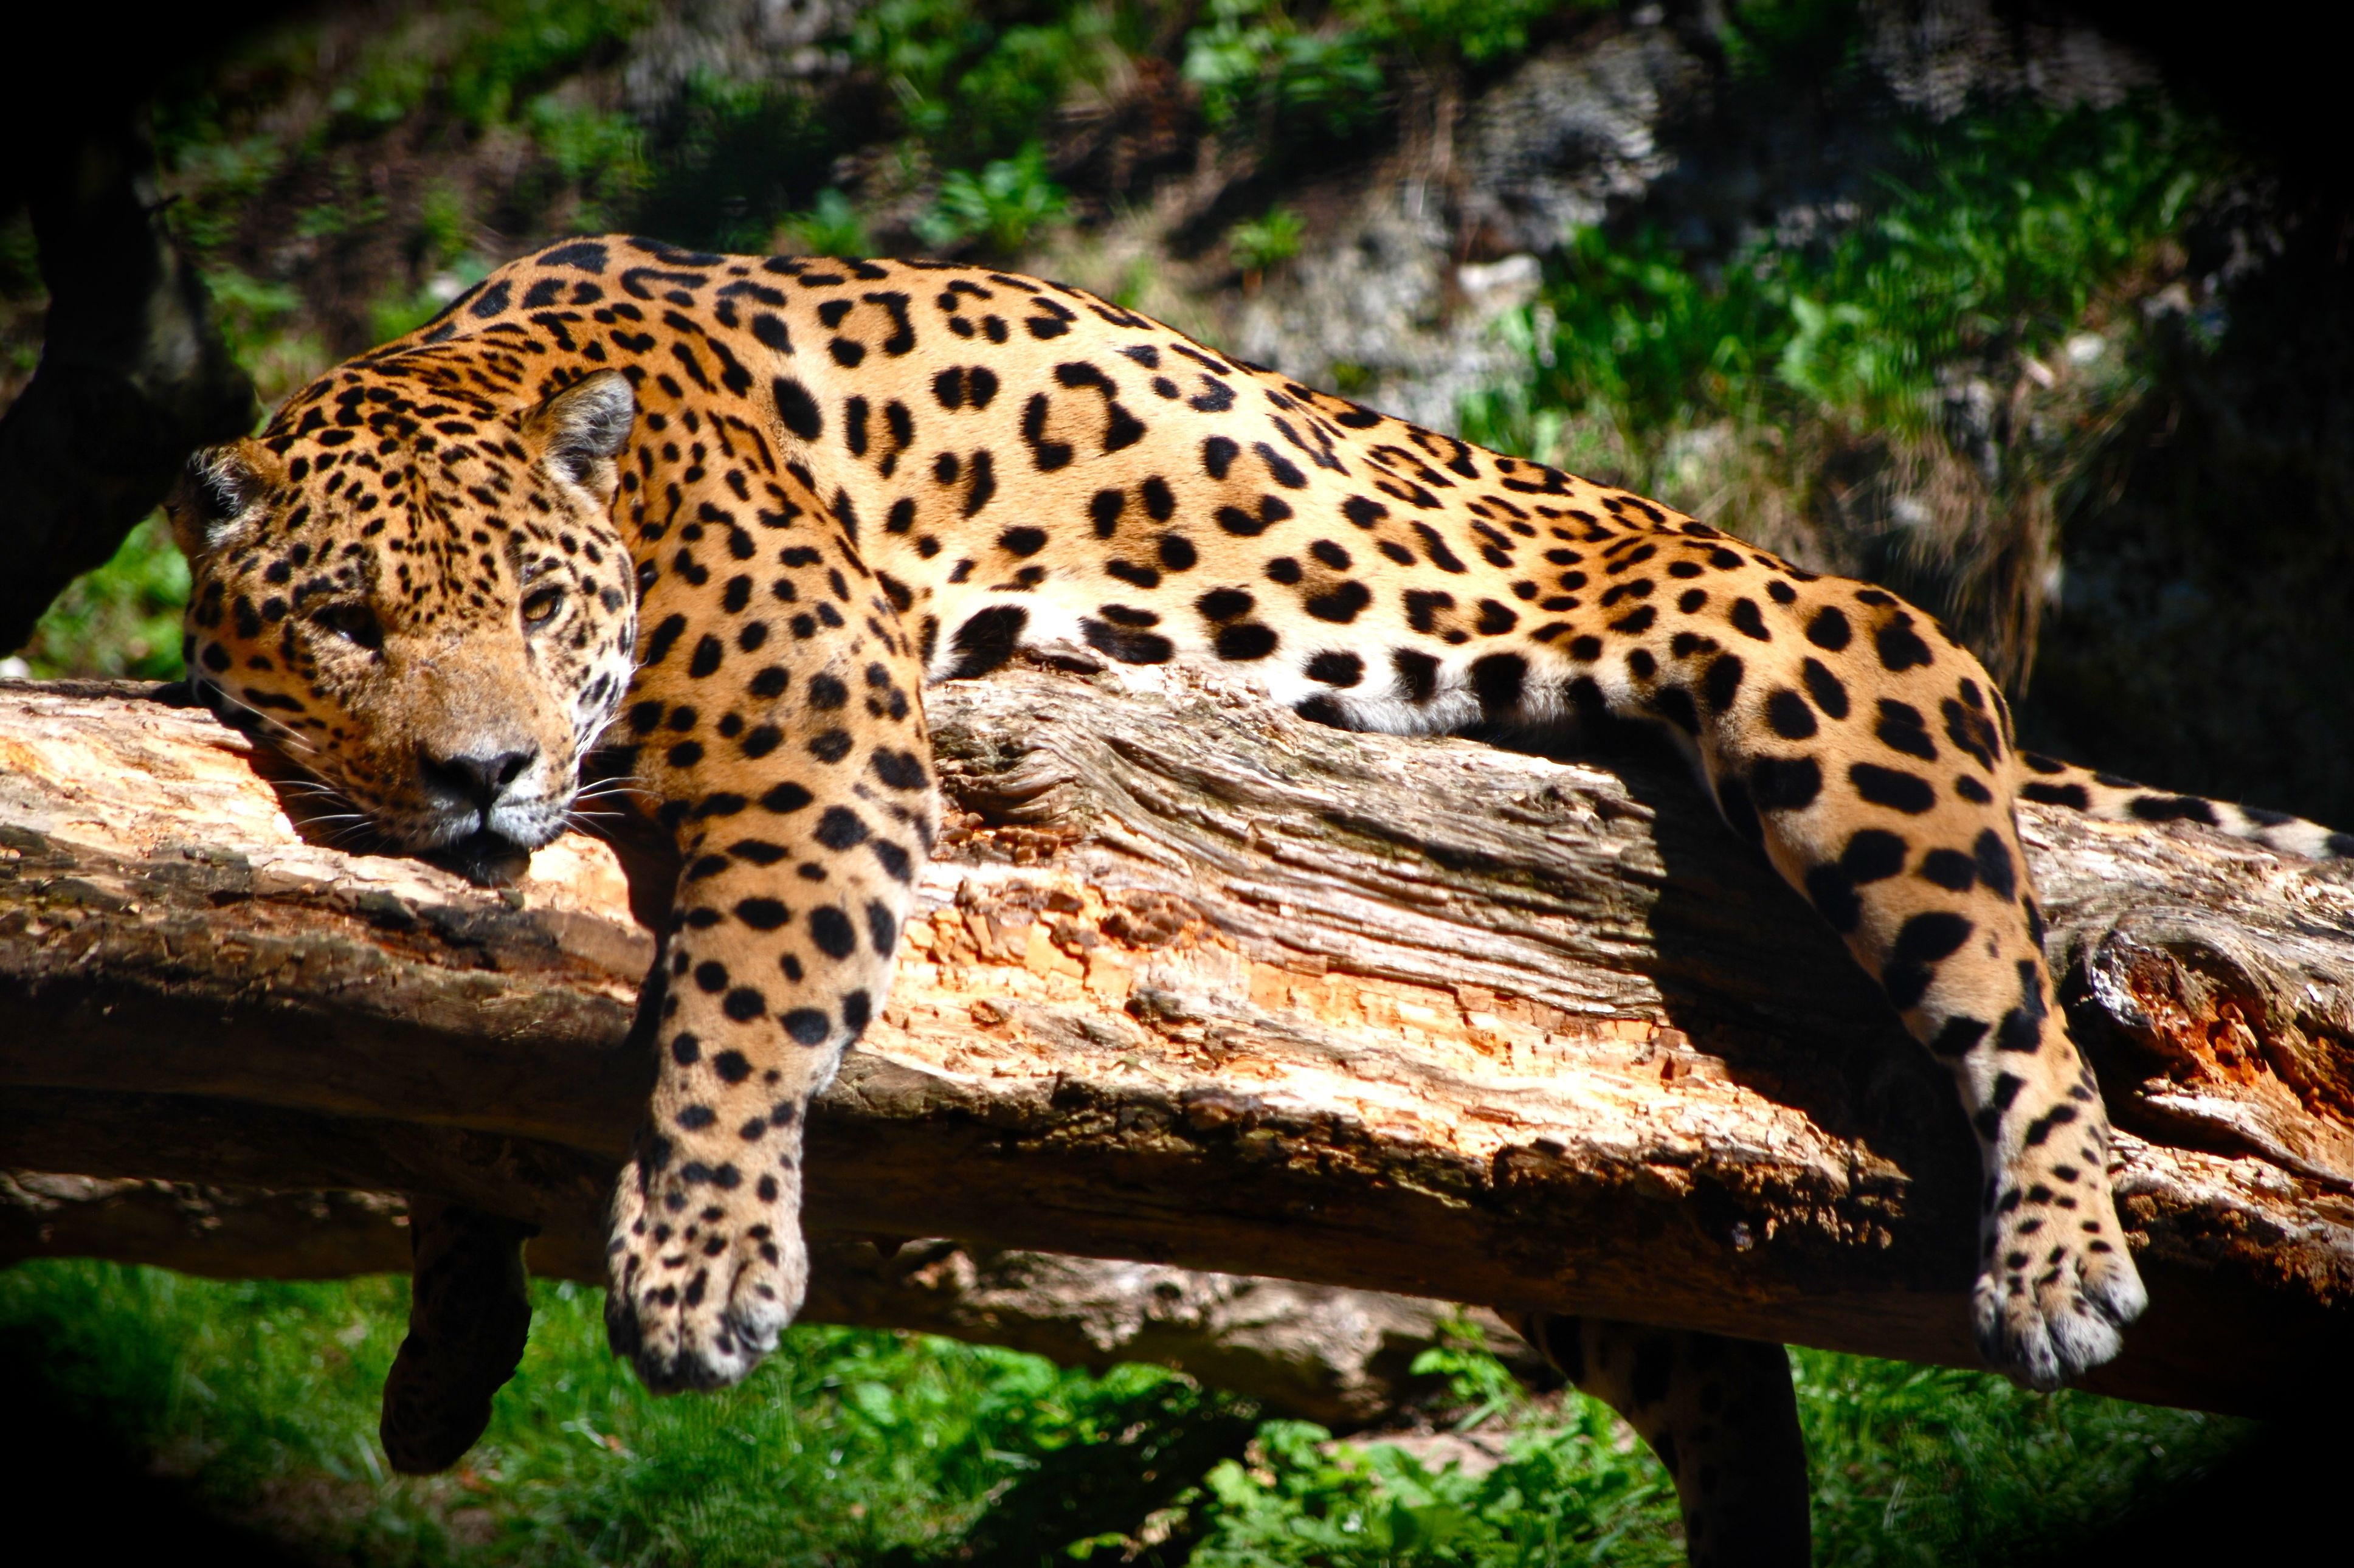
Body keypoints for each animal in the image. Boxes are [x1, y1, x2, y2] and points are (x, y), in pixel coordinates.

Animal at [162, 234, 2348, 1561]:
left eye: (540, 608)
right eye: (350, 623)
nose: (485, 772)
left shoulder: (819, 737)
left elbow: (733, 1008)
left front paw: (699, 1266)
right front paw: (447, 1346)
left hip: (1828, 668)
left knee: (2017, 1000)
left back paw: (2059, 1263)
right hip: (1541, 1184)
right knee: (1706, 1343)